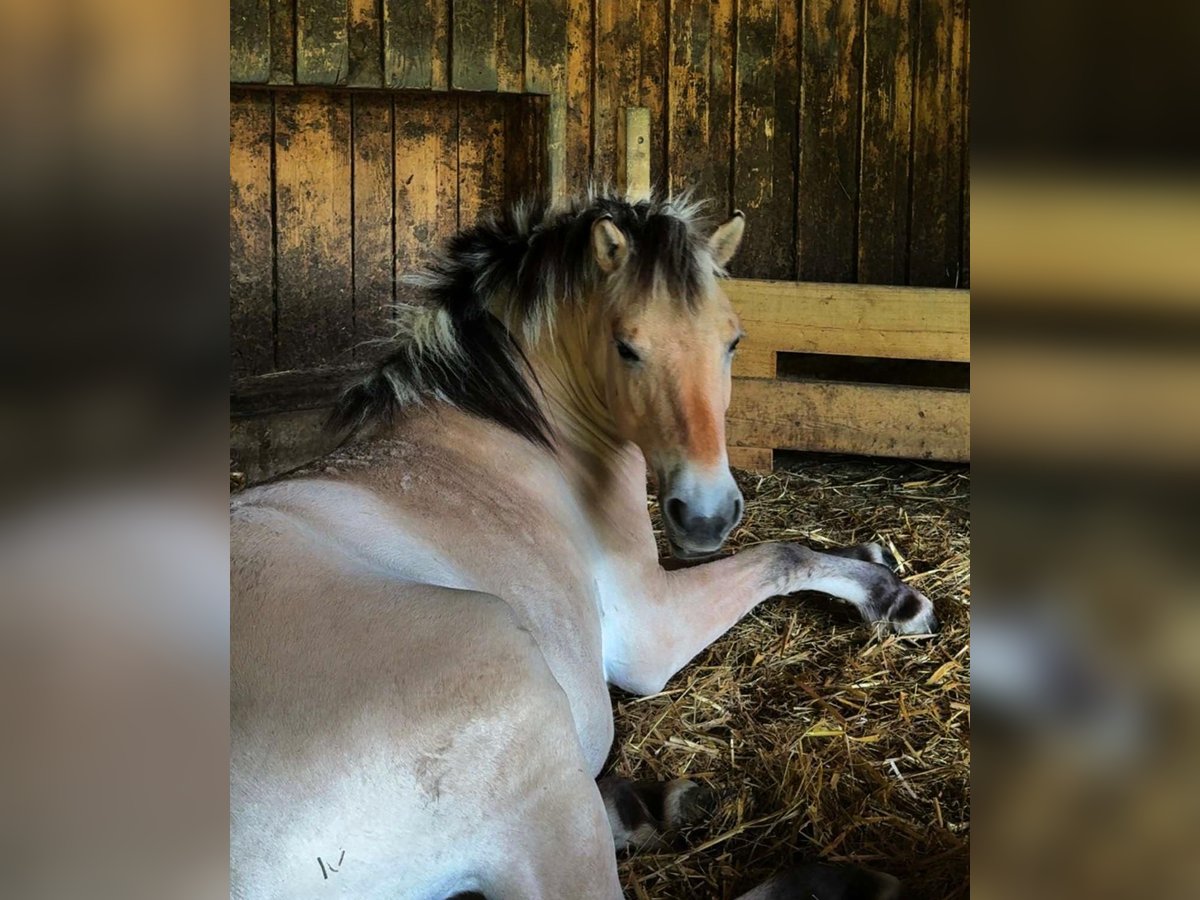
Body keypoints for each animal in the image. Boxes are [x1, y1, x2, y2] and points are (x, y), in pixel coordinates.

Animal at [230, 191, 937, 898]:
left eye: (733, 341)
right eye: (626, 348)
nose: (706, 515)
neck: (519, 432)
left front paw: (870, 557)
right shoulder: (649, 629)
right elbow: (782, 554)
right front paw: (892, 598)